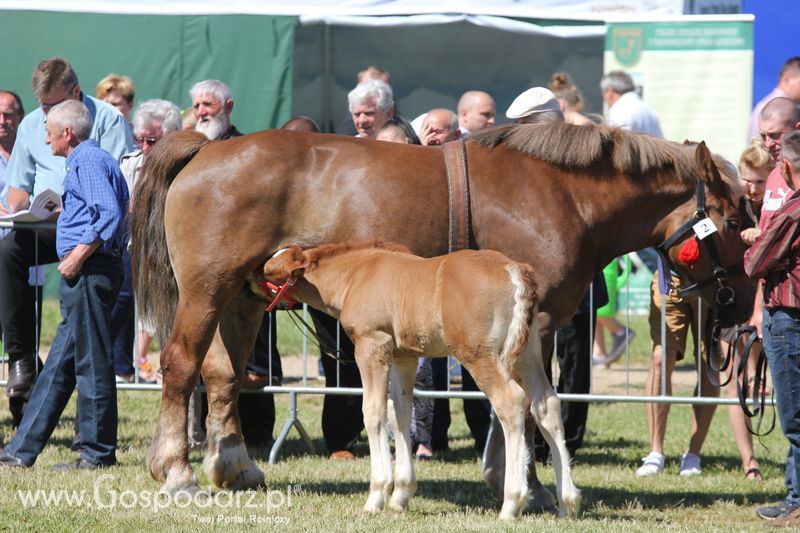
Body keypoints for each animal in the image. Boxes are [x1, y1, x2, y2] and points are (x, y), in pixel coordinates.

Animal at [262, 242, 580, 520]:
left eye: (267, 271)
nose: (256, 295)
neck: (355, 276)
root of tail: (511, 268)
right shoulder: (404, 357)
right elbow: (400, 412)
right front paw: (401, 495)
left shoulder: (371, 346)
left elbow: (374, 412)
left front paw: (376, 496)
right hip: (529, 352)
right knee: (546, 404)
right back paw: (567, 503)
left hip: (478, 354)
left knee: (511, 402)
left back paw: (511, 503)